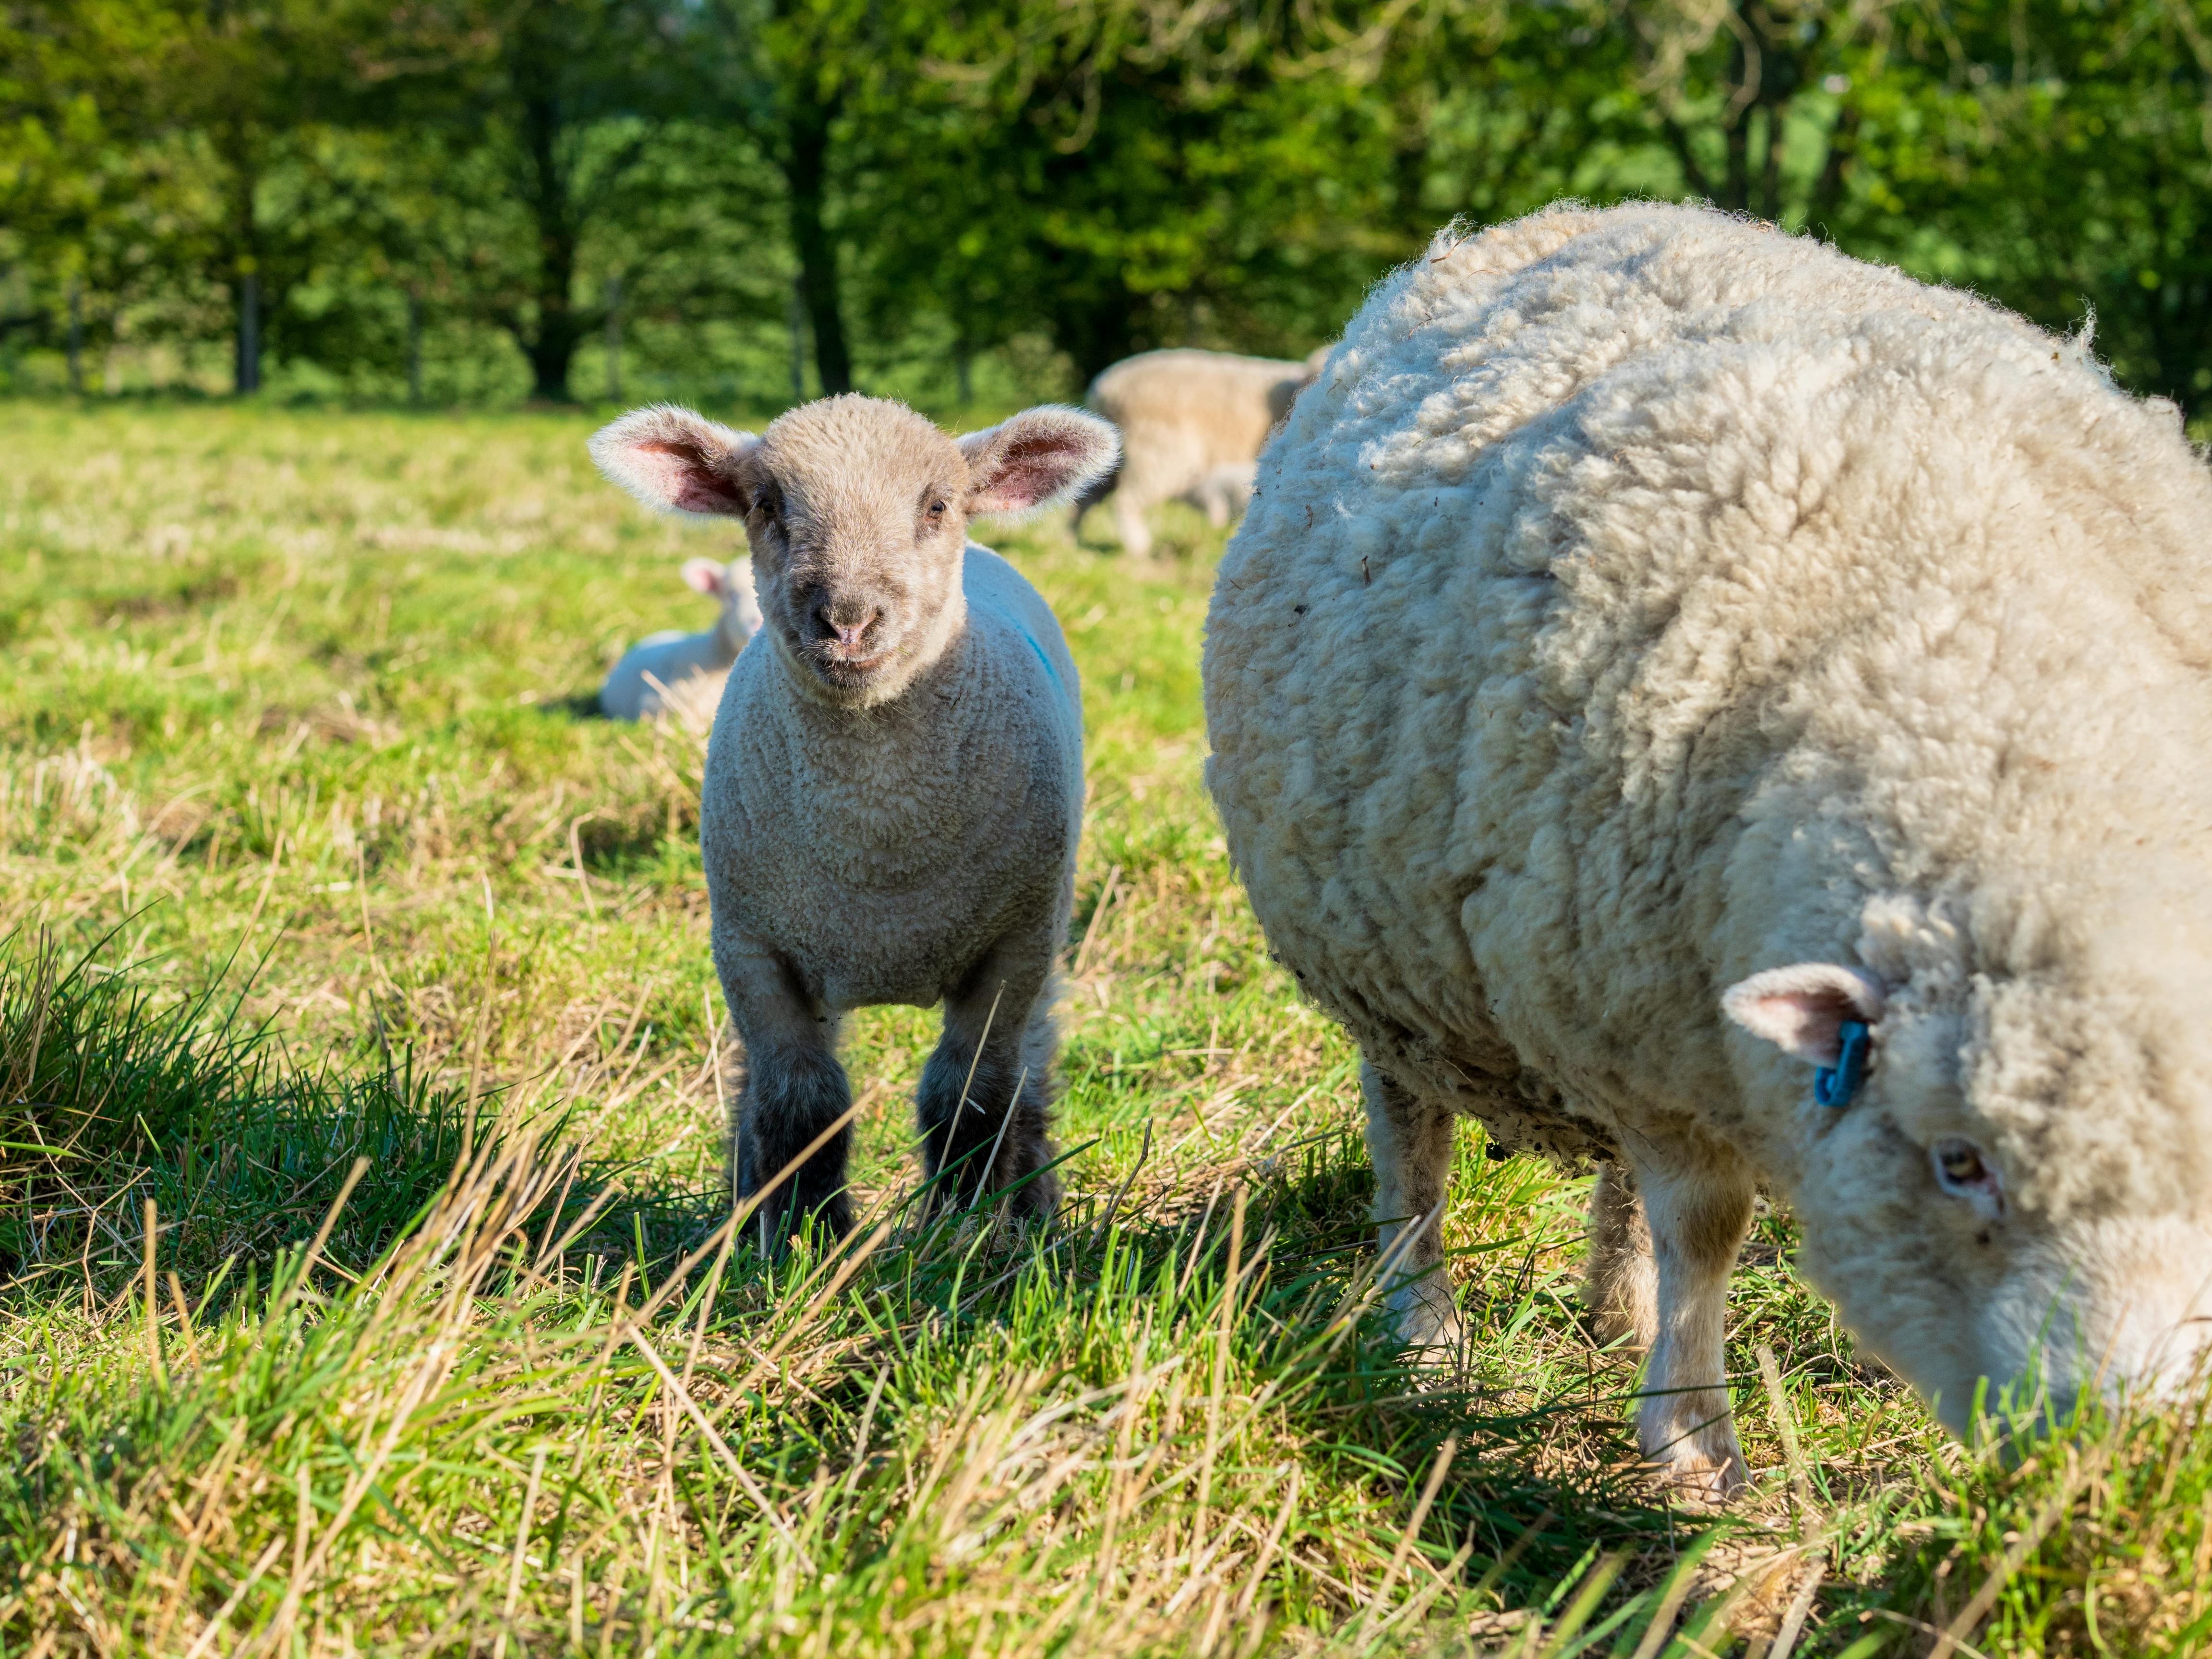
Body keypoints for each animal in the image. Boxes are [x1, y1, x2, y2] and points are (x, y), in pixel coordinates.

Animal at [1078, 348, 1320, 558]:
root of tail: (1101, 390)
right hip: (1158, 453)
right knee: (1126, 501)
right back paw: (1139, 547)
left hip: (1106, 460)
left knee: (1086, 497)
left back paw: (1075, 542)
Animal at [1202, 201, 2212, 1494]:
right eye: (1958, 1161)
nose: (2123, 1455)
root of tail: (1564, 218)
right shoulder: (1657, 1048)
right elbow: (1707, 1226)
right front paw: (1691, 1443)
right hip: (1394, 954)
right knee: (1411, 1143)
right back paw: (1424, 1333)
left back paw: (1611, 1312)